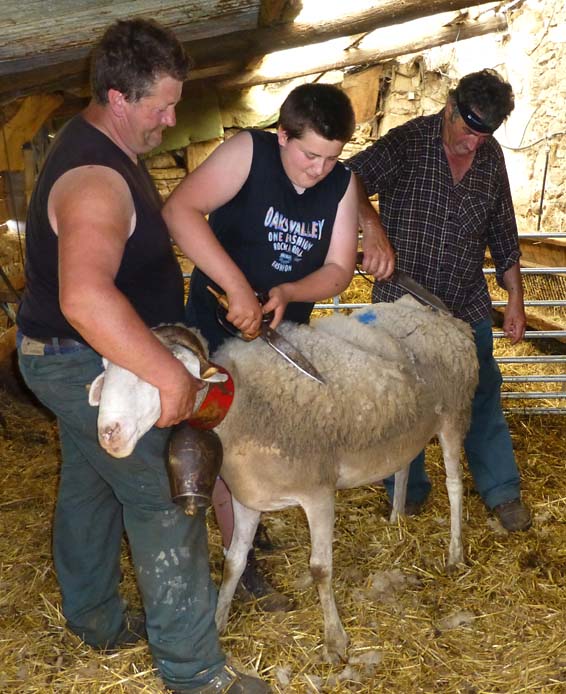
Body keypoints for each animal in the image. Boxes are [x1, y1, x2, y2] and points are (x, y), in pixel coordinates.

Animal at [89, 295, 478, 662]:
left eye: (164, 370)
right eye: (106, 371)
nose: (109, 434)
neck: (240, 402)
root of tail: (435, 312)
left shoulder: (319, 494)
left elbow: (320, 568)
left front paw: (335, 640)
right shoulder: (246, 498)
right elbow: (234, 561)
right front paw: (218, 619)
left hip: (454, 416)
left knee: (454, 486)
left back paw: (455, 553)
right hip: (406, 430)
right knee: (402, 466)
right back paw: (397, 518)